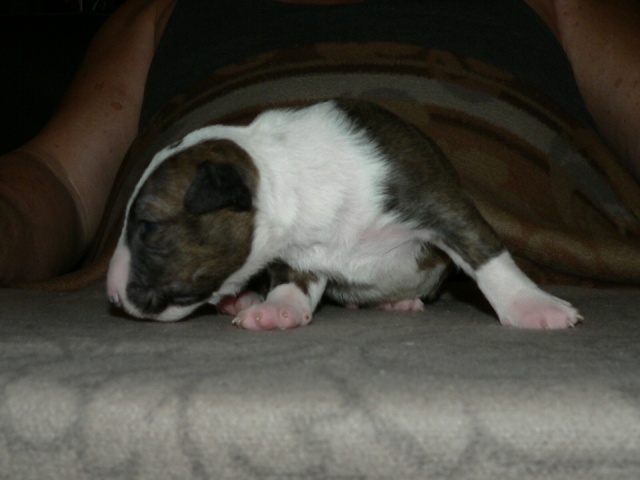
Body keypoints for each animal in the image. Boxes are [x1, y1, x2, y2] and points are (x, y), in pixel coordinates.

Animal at [107, 99, 582, 330]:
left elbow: (488, 257)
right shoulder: (299, 253)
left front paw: (532, 306)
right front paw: (276, 309)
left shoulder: (441, 204)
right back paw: (240, 299)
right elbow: (292, 280)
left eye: (148, 225)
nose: (111, 296)